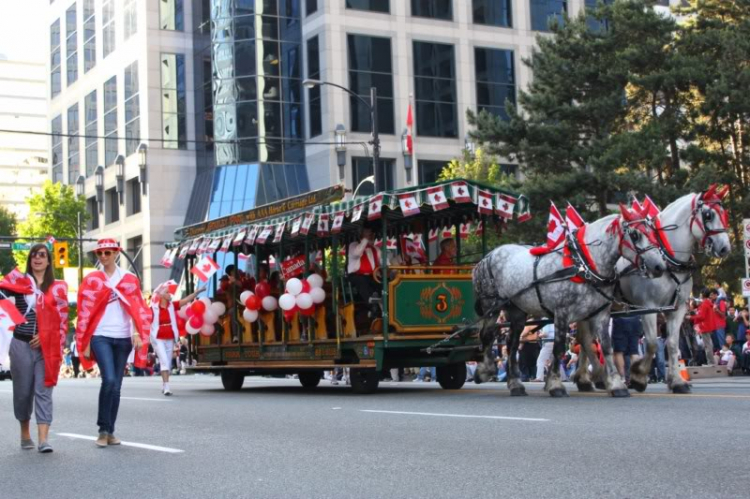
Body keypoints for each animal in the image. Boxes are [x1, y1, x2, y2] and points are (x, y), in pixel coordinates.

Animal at [476, 207, 668, 398]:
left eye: (653, 232)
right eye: (635, 234)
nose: (660, 267)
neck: (583, 265)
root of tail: (489, 255)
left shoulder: (600, 314)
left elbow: (606, 347)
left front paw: (616, 384)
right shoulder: (562, 312)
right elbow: (559, 348)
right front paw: (556, 385)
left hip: (517, 310)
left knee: (512, 343)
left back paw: (515, 384)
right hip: (492, 306)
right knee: (487, 335)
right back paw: (485, 370)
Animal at [580, 188, 732, 394]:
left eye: (724, 213)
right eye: (708, 215)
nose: (725, 248)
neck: (667, 259)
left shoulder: (678, 309)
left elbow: (673, 345)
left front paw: (677, 382)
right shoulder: (649, 307)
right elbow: (651, 343)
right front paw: (638, 376)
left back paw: (588, 379)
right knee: (586, 339)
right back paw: (593, 377)